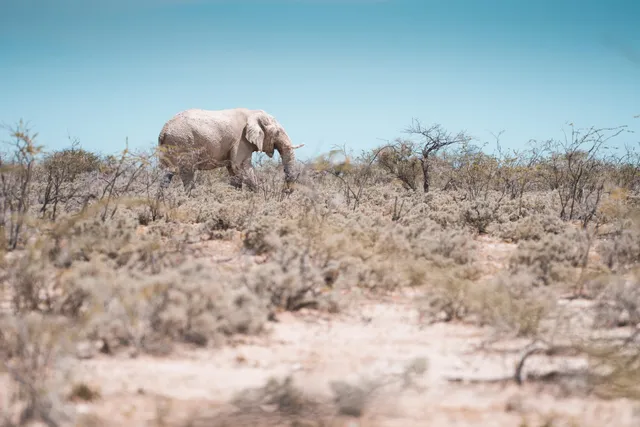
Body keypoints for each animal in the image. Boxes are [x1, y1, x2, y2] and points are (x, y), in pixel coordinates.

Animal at [157, 108, 304, 193]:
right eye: (277, 132)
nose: (285, 192)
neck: (253, 113)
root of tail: (164, 130)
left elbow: (233, 172)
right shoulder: (240, 140)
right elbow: (240, 167)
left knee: (166, 173)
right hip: (183, 142)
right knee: (187, 172)